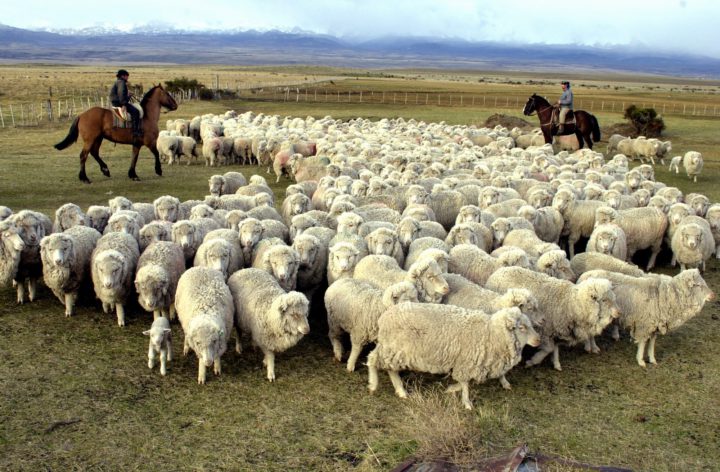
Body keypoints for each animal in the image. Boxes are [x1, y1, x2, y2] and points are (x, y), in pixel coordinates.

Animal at [368, 306, 536, 410]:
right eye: (521, 327)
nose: (538, 340)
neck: (491, 333)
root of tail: (384, 317)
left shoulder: (468, 364)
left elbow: (464, 382)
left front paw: (451, 389)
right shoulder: (466, 363)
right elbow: (465, 384)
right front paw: (466, 403)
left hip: (393, 351)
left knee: (390, 369)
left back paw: (400, 390)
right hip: (394, 348)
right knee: (373, 360)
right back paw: (374, 384)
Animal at [486, 268, 620, 370]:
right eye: (604, 300)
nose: (619, 312)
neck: (572, 303)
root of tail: (499, 270)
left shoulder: (555, 331)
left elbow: (554, 349)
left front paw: (556, 364)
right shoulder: (545, 331)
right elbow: (549, 348)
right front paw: (533, 361)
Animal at [580, 270, 716, 366]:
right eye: (697, 285)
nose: (713, 295)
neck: (668, 296)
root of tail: (584, 276)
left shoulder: (654, 325)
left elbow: (651, 344)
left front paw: (652, 359)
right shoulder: (644, 324)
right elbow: (643, 343)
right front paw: (641, 361)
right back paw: (592, 347)